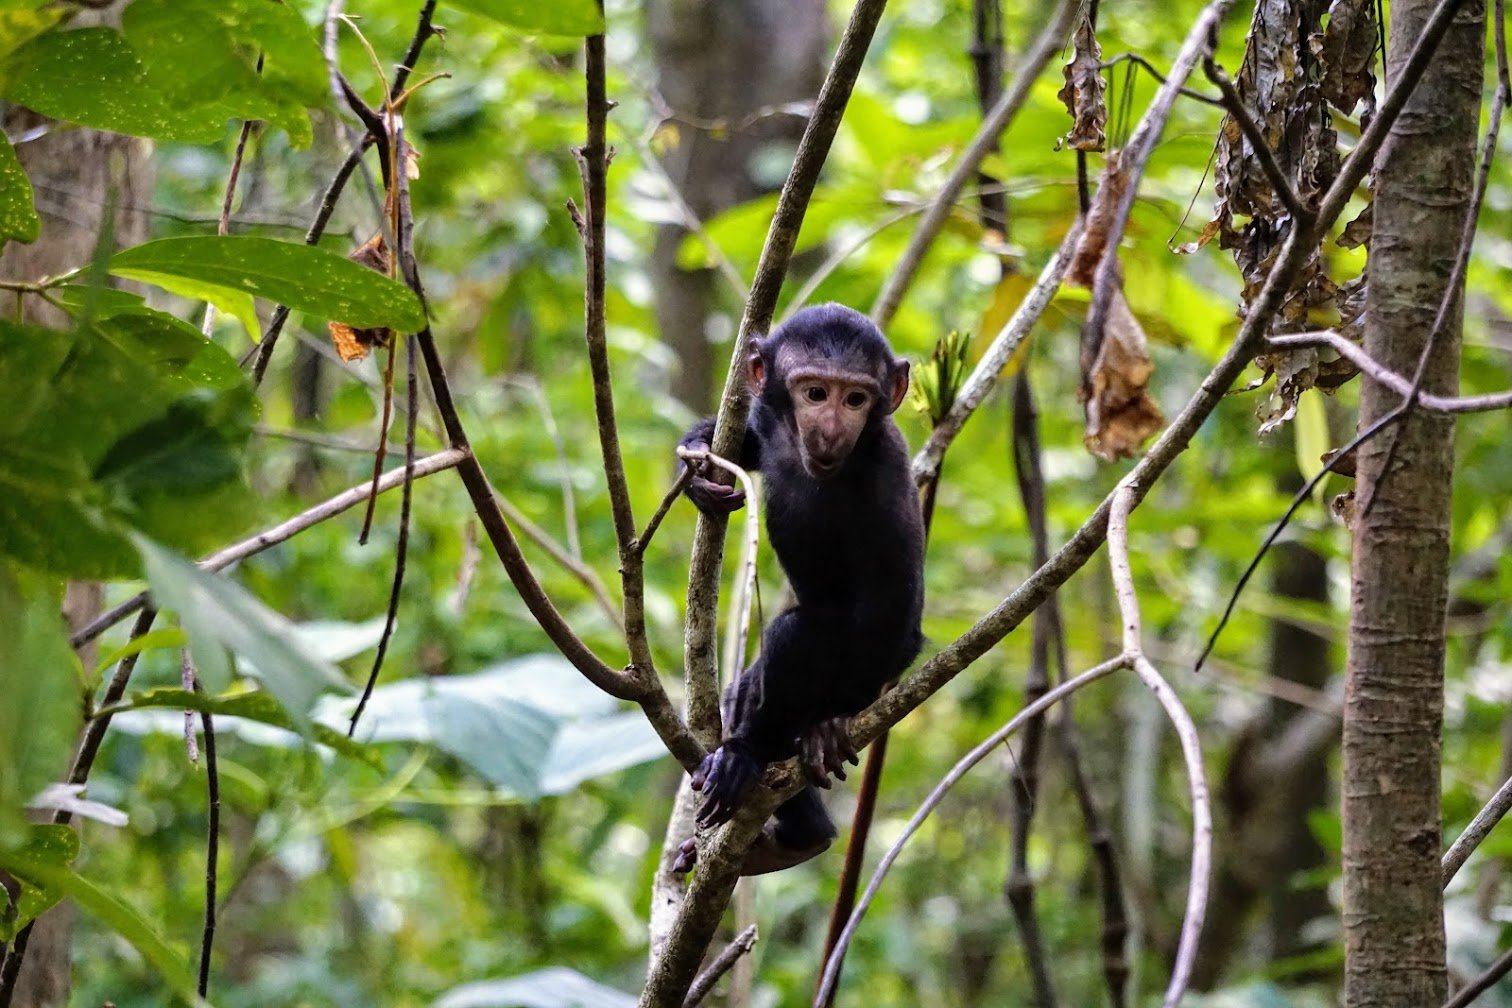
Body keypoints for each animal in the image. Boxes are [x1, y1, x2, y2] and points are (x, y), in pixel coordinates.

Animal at [673, 302, 925, 875]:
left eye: (855, 398)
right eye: (814, 392)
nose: (831, 427)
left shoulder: (884, 473)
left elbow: (891, 603)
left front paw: (831, 725)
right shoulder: (768, 417)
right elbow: (746, 438)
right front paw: (698, 461)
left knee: (804, 633)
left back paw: (753, 761)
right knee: (745, 690)